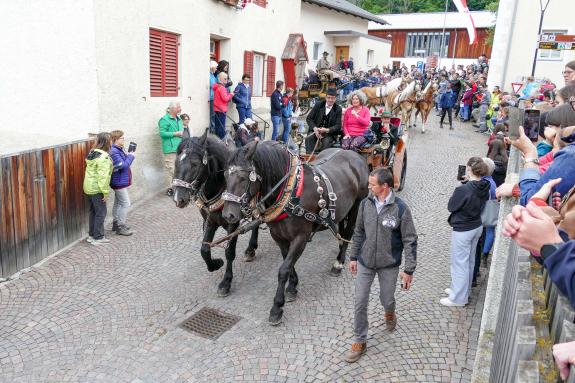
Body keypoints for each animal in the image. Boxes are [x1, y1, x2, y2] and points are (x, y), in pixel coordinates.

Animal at [172, 134, 260, 298]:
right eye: (176, 162)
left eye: (195, 164)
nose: (178, 198)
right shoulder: (210, 221)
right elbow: (204, 249)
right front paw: (214, 264)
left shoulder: (233, 223)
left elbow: (229, 252)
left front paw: (226, 282)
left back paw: (251, 249)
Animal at [220, 142, 368, 326]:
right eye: (225, 176)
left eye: (243, 178)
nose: (228, 215)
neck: (291, 194)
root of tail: (354, 155)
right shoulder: (279, 236)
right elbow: (287, 262)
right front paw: (292, 286)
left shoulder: (300, 238)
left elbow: (283, 269)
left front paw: (277, 307)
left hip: (357, 205)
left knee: (348, 233)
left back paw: (338, 263)